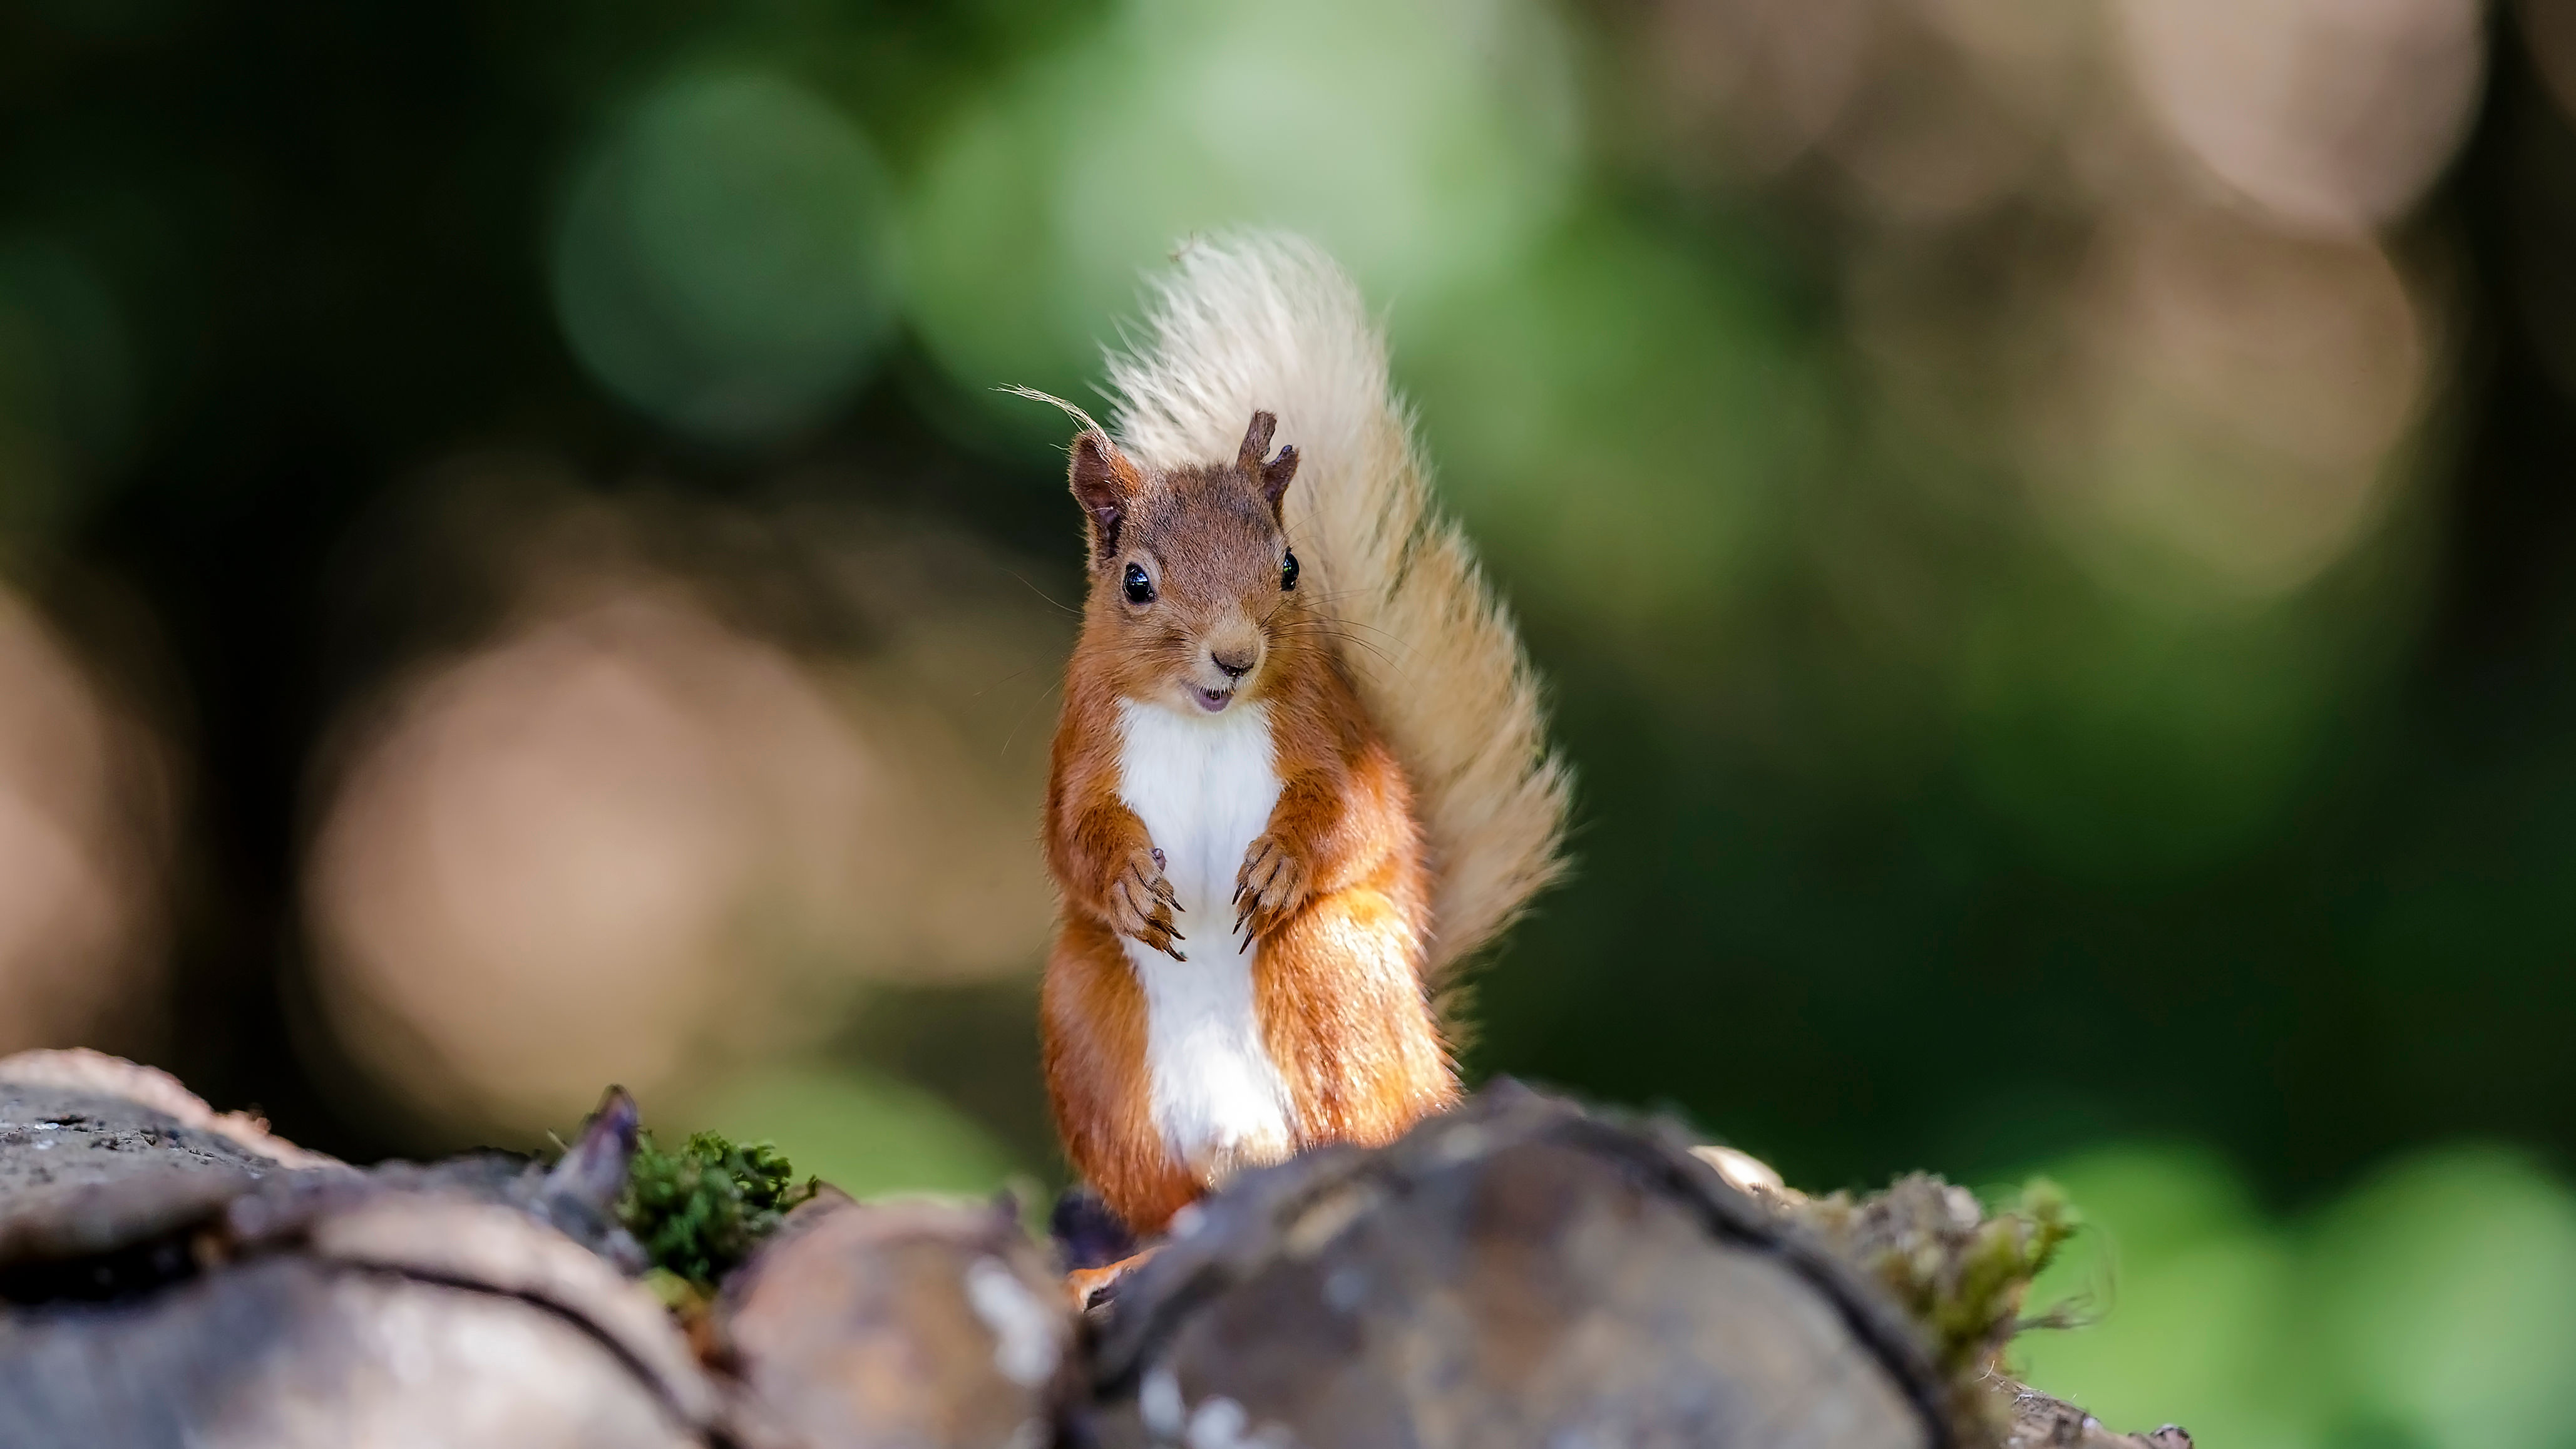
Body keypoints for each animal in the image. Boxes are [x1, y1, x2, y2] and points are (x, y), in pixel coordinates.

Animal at [1035, 233, 1571, 1237]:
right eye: (1135, 581)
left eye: (1288, 567)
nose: (1235, 656)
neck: (1202, 723)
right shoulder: (1082, 741)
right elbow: (1069, 835)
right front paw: (1124, 880)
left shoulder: (1333, 738)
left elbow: (1359, 816)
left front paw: (1283, 860)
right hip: (1085, 1022)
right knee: (1163, 1202)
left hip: (1330, 970)